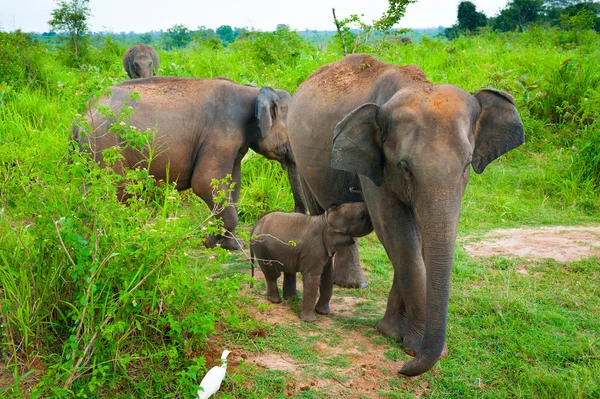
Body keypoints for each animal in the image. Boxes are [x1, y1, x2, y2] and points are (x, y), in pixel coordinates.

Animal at [72, 76, 304, 248]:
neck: (253, 91)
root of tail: (81, 115)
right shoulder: (221, 135)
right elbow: (204, 182)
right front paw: (218, 243)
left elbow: (232, 183)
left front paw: (226, 244)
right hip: (105, 146)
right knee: (113, 191)